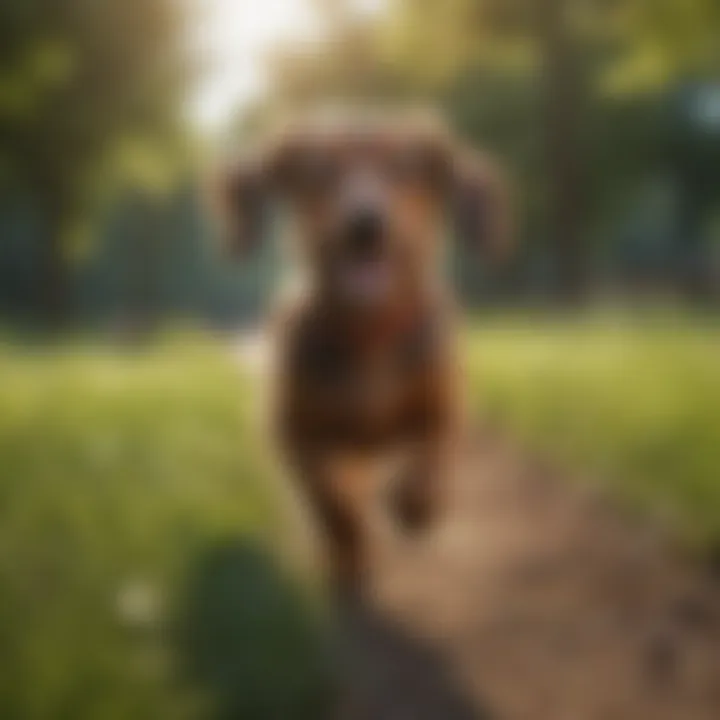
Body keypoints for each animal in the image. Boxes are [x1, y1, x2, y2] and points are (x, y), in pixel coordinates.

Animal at [211, 111, 510, 596]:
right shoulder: (293, 432)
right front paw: (349, 552)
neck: (369, 335)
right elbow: (330, 505)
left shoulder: (443, 405)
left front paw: (414, 506)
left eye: (405, 169)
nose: (365, 224)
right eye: (320, 172)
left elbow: (433, 455)